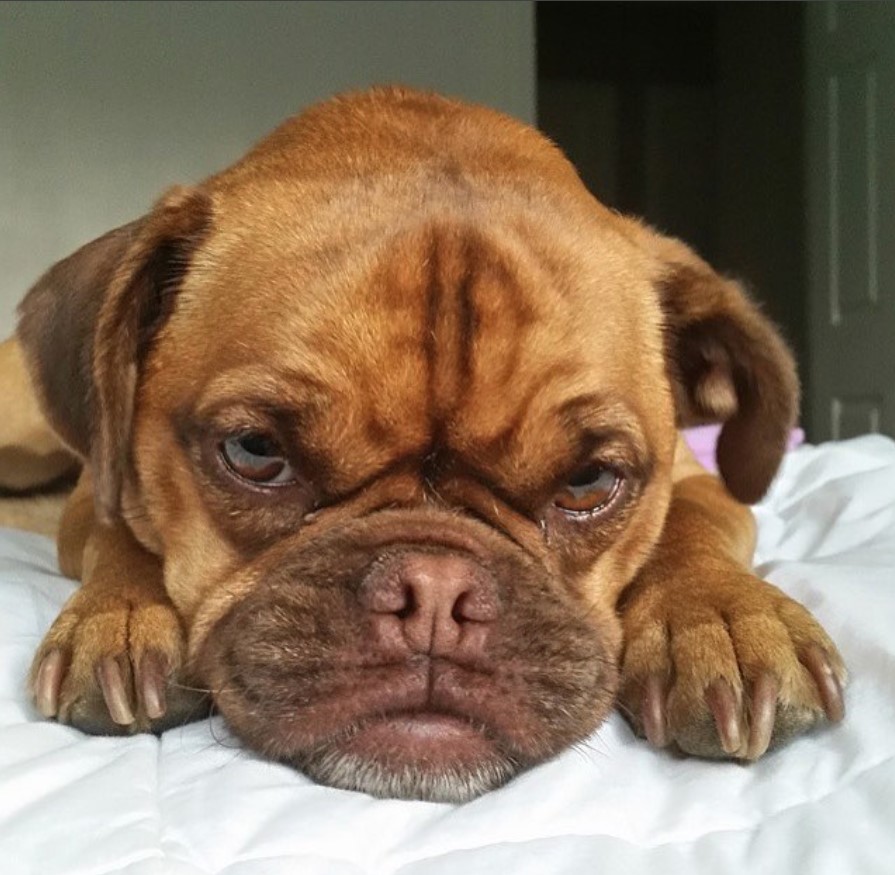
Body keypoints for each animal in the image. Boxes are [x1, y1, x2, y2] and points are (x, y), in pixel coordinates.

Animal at [5, 87, 848, 800]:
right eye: (254, 450)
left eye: (587, 479)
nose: (435, 591)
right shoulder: (97, 493)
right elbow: (120, 534)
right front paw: (121, 614)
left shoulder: (697, 483)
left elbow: (689, 527)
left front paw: (720, 620)